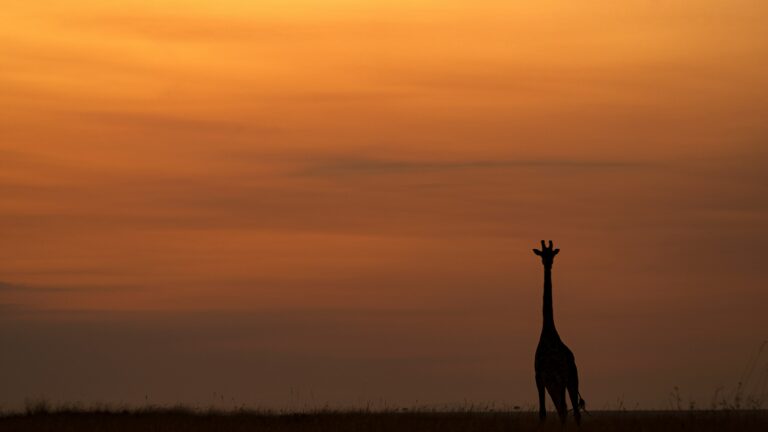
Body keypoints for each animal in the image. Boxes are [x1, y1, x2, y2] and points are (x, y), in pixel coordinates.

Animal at [533, 240, 583, 425]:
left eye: (552, 254)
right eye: (542, 254)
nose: (548, 263)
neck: (548, 334)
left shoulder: (560, 376)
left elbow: (563, 411)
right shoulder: (540, 377)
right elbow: (542, 413)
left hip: (572, 379)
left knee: (573, 411)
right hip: (553, 384)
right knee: (564, 409)